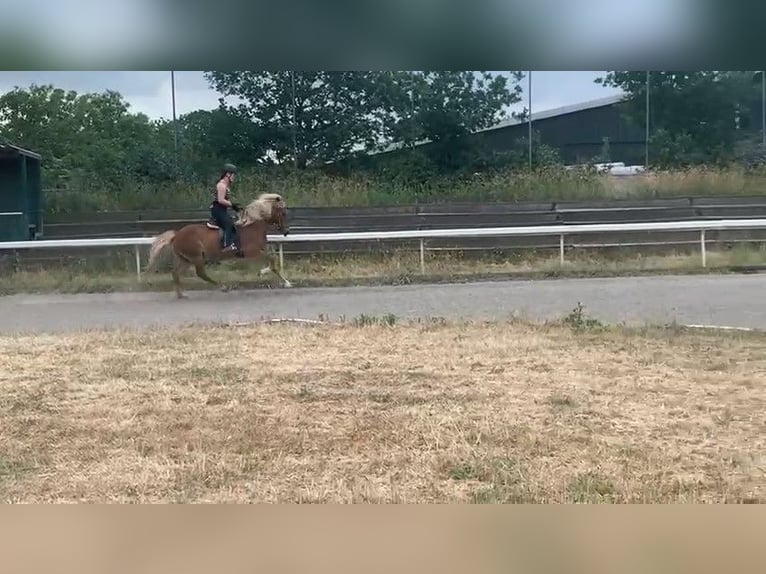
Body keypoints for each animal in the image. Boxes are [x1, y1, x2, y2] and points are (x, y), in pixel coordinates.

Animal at [144, 195, 292, 302]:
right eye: (283, 213)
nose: (286, 231)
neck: (254, 226)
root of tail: (177, 234)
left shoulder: (260, 250)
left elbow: (273, 259)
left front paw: (283, 281)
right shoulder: (252, 251)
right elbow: (272, 259)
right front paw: (269, 275)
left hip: (185, 259)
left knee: (175, 273)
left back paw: (181, 295)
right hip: (196, 257)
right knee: (200, 273)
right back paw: (223, 286)